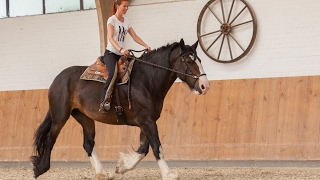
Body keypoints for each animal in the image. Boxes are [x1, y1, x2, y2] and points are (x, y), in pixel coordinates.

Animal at [30, 38, 210, 179]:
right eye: (189, 61)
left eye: (200, 60)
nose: (205, 86)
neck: (146, 79)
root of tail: (58, 79)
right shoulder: (147, 121)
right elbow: (156, 147)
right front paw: (168, 174)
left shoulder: (147, 121)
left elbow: (143, 149)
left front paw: (122, 167)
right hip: (60, 116)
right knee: (50, 138)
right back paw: (40, 169)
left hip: (84, 117)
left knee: (88, 144)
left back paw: (102, 173)